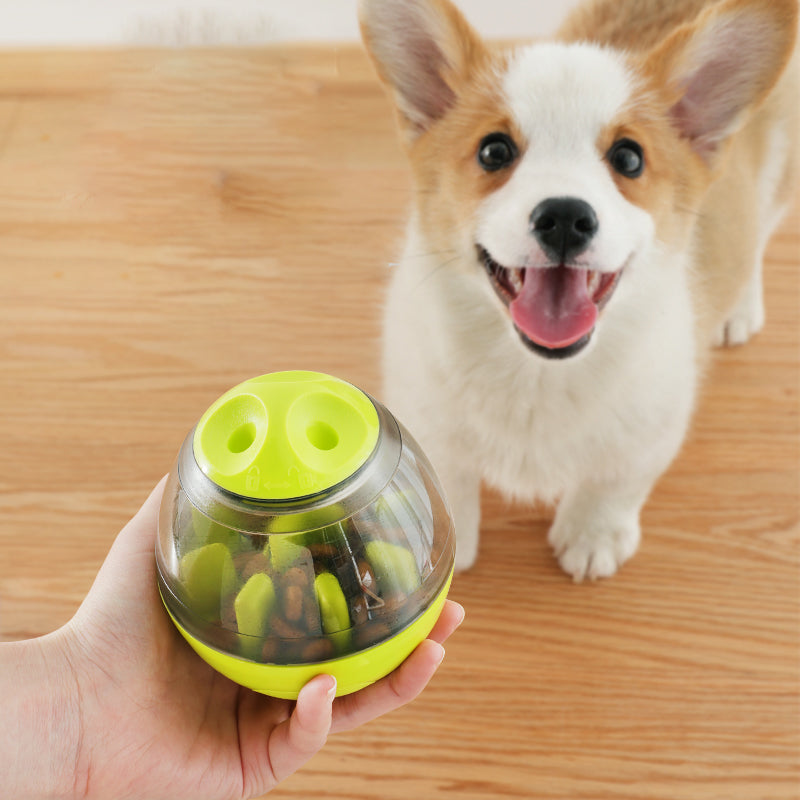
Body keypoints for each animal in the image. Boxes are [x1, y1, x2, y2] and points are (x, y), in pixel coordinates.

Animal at [360, 0, 796, 580]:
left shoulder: (650, 432)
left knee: (761, 234)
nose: (565, 217)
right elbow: (447, 478)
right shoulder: (428, 413)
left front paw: (593, 538)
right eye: (494, 151)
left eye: (629, 158)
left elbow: (614, 485)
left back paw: (740, 309)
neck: (538, 374)